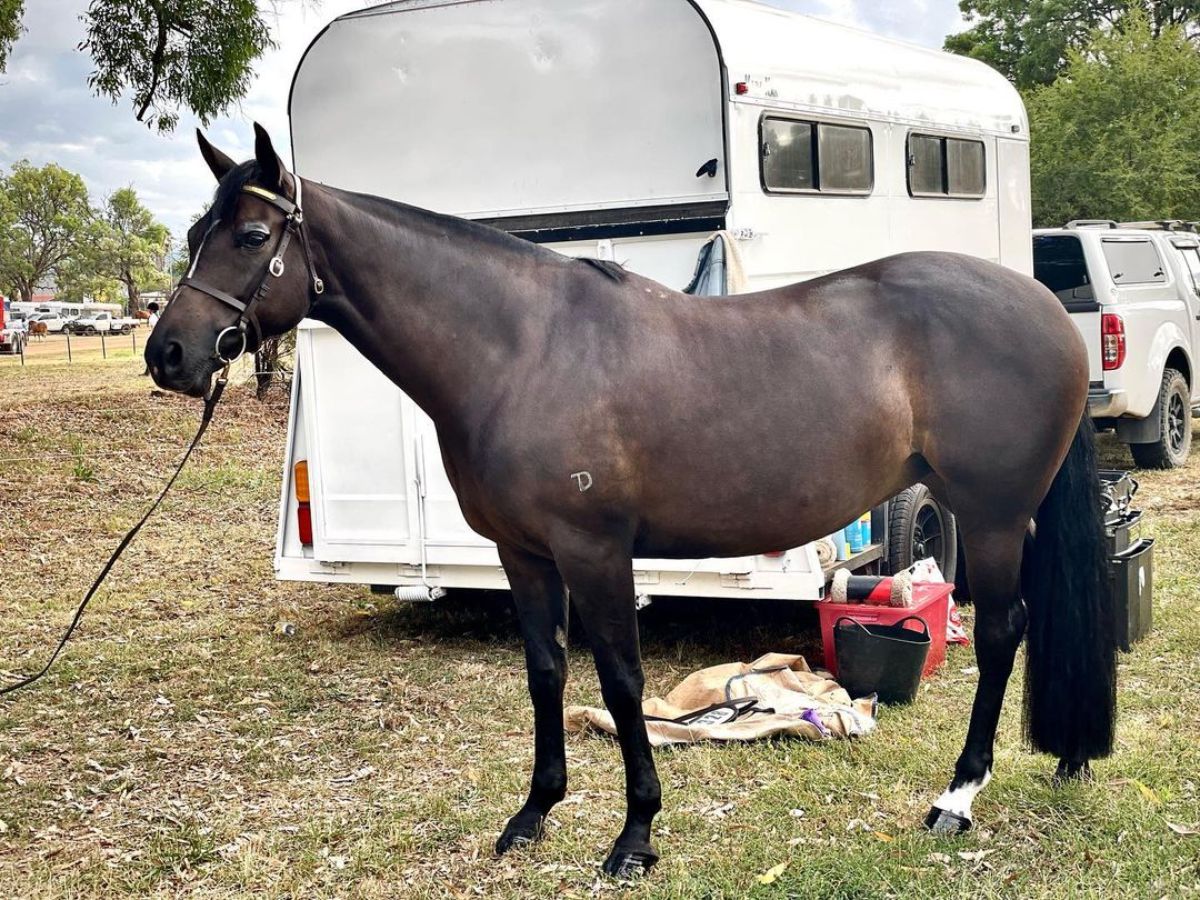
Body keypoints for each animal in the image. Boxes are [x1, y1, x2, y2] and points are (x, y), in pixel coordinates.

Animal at [147, 128, 1113, 883]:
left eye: (252, 234)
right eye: (196, 233)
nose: (168, 354)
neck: (517, 348)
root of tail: (1046, 308)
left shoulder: (595, 551)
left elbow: (619, 681)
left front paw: (635, 836)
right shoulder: (525, 555)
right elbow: (546, 673)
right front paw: (534, 815)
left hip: (989, 517)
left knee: (1004, 632)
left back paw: (958, 797)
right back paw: (1065, 758)